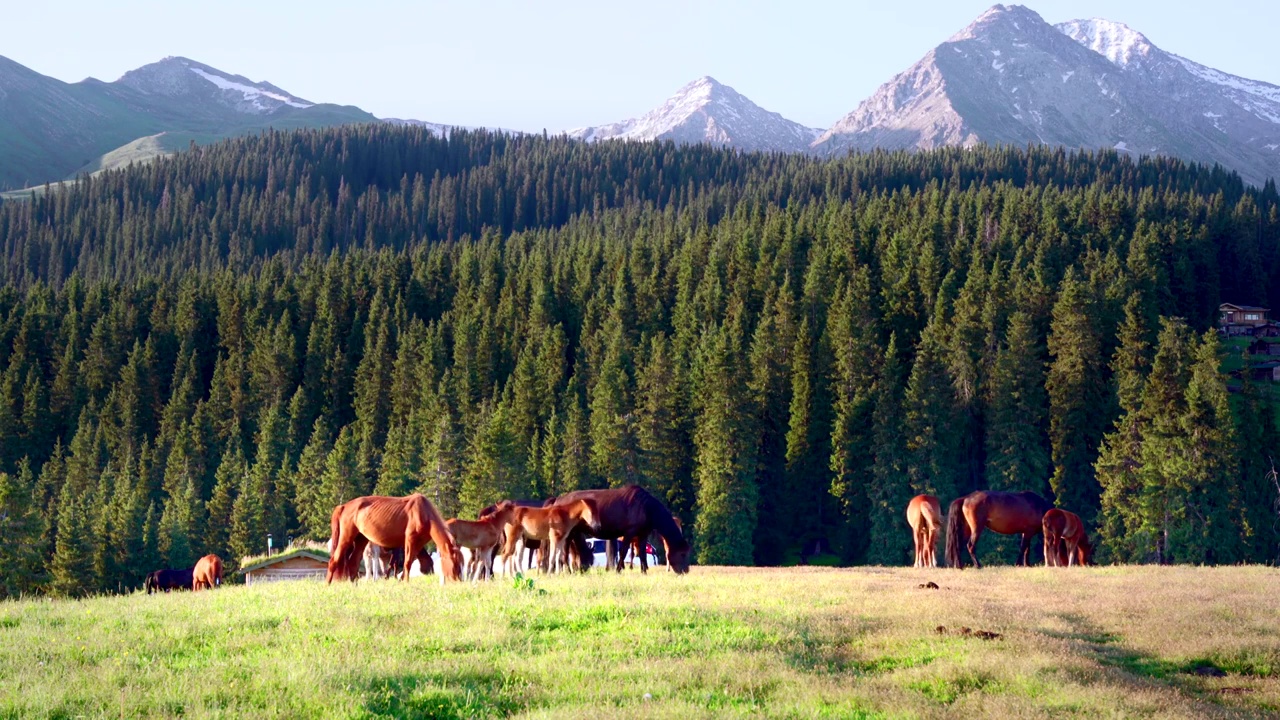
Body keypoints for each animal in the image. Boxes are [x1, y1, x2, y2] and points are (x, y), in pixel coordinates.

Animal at [327, 489, 463, 586]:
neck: (423, 513)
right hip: (346, 538)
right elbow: (407, 563)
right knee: (334, 560)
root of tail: (343, 506)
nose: (458, 581)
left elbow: (408, 562)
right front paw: (406, 582)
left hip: (361, 540)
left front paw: (401, 580)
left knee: (353, 563)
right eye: (454, 563)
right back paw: (327, 584)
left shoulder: (418, 544)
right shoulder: (409, 541)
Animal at [552, 481, 691, 571]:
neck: (646, 508)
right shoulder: (629, 532)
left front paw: (644, 571)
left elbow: (642, 554)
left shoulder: (643, 534)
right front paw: (619, 569)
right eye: (682, 554)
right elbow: (623, 552)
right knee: (564, 554)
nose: (685, 570)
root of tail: (557, 500)